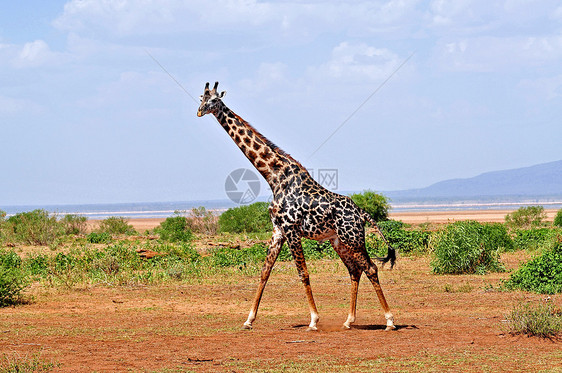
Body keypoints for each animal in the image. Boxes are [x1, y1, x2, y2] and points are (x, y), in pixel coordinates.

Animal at [199, 80, 396, 328]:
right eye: (201, 98)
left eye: (215, 100)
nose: (200, 111)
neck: (274, 177)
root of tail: (361, 212)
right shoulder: (278, 230)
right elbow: (264, 271)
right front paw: (249, 320)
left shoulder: (292, 229)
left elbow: (303, 273)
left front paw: (313, 319)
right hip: (338, 241)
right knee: (354, 270)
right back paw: (349, 320)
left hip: (353, 238)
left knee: (370, 268)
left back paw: (389, 320)